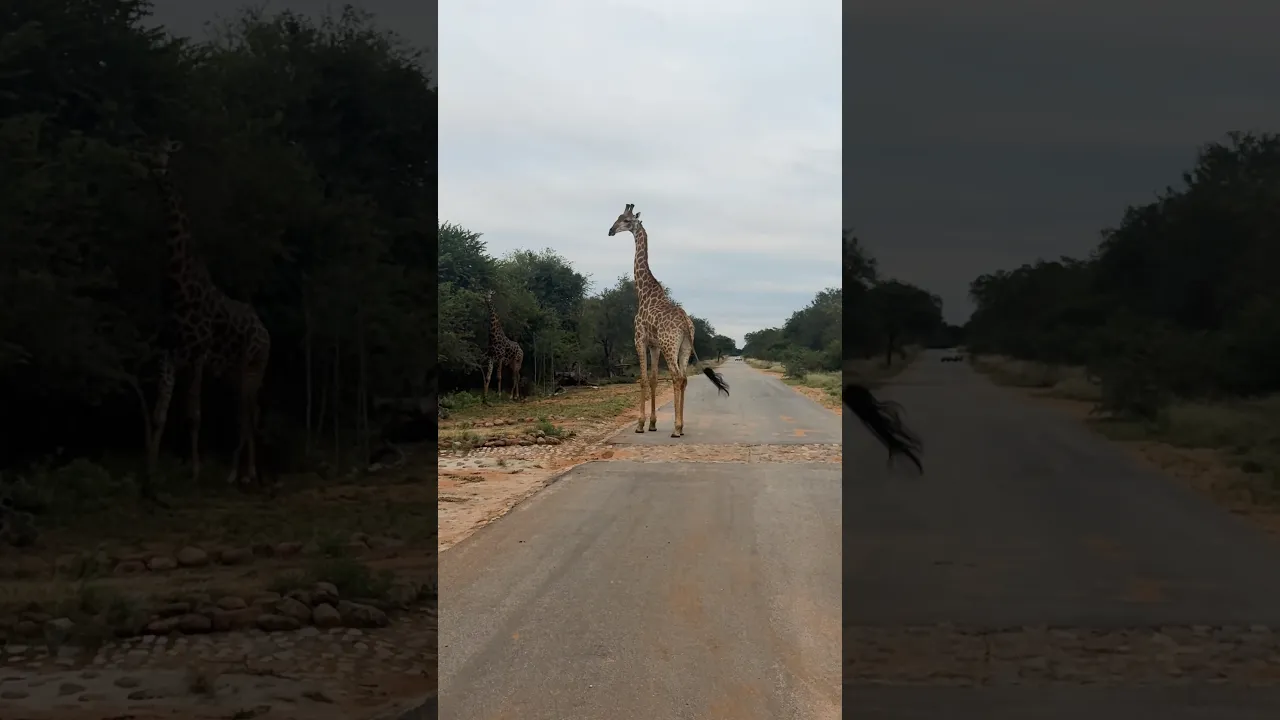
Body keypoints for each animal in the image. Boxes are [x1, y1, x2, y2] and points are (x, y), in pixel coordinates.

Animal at [136, 139, 272, 496]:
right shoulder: (168, 352)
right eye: (149, 152)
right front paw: (151, 475)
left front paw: (194, 472)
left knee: (250, 413)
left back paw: (248, 475)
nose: (157, 168)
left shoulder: (198, 353)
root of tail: (266, 332)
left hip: (254, 366)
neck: (179, 288)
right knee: (246, 414)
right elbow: (160, 413)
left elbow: (193, 414)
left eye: (168, 151)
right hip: (235, 372)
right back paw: (235, 474)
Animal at [607, 204, 730, 437]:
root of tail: (685, 324)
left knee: (676, 376)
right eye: (617, 217)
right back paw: (679, 427)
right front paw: (653, 424)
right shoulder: (654, 345)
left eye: (626, 221)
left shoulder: (640, 339)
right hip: (684, 346)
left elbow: (643, 379)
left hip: (669, 344)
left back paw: (676, 428)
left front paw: (640, 425)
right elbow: (654, 379)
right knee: (683, 378)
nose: (610, 230)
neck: (644, 293)